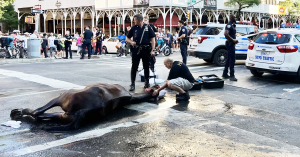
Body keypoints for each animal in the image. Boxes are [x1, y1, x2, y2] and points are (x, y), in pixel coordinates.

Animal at [10, 83, 161, 131]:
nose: (157, 88)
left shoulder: (61, 98)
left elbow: (38, 111)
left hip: (62, 99)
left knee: (37, 112)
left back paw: (17, 112)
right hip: (64, 115)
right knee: (42, 115)